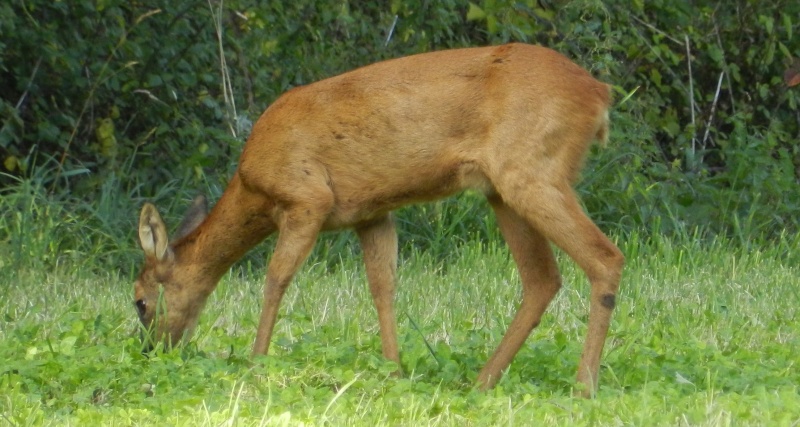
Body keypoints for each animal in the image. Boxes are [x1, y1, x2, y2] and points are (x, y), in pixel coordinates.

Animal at [134, 43, 624, 398]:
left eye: (139, 301)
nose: (151, 351)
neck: (253, 186)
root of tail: (599, 93)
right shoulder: (371, 213)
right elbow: (382, 287)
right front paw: (393, 371)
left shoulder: (306, 198)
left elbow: (275, 279)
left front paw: (256, 364)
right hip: (500, 189)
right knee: (542, 278)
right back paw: (482, 383)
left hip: (531, 171)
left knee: (605, 256)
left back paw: (584, 388)